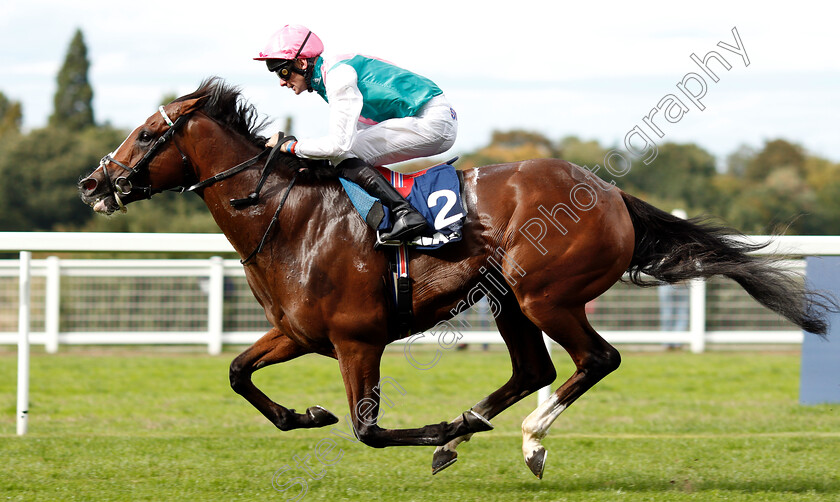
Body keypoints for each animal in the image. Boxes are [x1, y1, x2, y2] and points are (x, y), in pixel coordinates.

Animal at [80, 78, 832, 478]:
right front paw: (306, 414)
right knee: (534, 369)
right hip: (509, 302)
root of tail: (611, 193)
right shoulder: (297, 333)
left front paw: (434, 426)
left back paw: (523, 437)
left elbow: (368, 431)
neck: (290, 217)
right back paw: (477, 427)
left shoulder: (358, 340)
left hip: (544, 293)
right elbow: (238, 372)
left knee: (595, 359)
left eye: (146, 134)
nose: (94, 182)